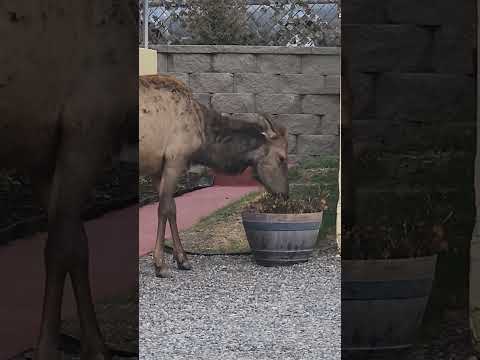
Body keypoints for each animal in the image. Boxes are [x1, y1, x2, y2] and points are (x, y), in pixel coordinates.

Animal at [1, 1, 137, 358]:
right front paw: (49, 348)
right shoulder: (87, 124)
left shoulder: (41, 150)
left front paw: (93, 344)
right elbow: (61, 247)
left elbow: (76, 243)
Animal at [139, 74, 288, 278]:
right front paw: (160, 265)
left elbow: (172, 209)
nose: (285, 194)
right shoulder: (175, 158)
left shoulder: (157, 167)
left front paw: (182, 259)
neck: (204, 137)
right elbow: (163, 209)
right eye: (282, 157)